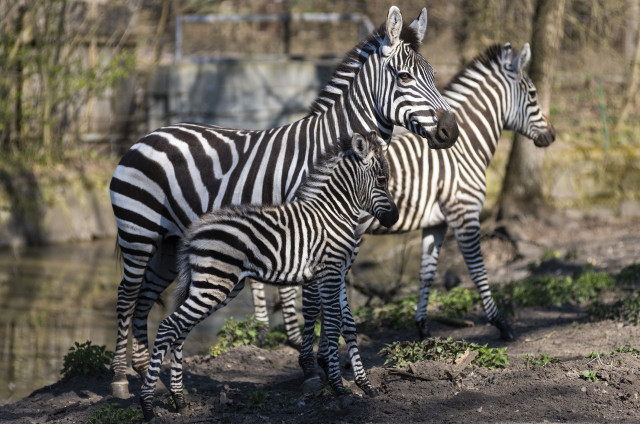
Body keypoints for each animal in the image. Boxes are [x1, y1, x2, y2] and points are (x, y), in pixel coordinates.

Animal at [139, 132, 398, 420]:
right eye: (382, 180)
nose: (394, 218)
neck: (333, 213)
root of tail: (192, 233)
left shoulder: (339, 273)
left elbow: (348, 325)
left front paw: (365, 384)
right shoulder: (329, 272)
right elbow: (332, 325)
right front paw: (340, 389)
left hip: (215, 286)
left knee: (180, 330)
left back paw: (179, 399)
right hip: (213, 285)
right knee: (168, 327)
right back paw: (148, 405)